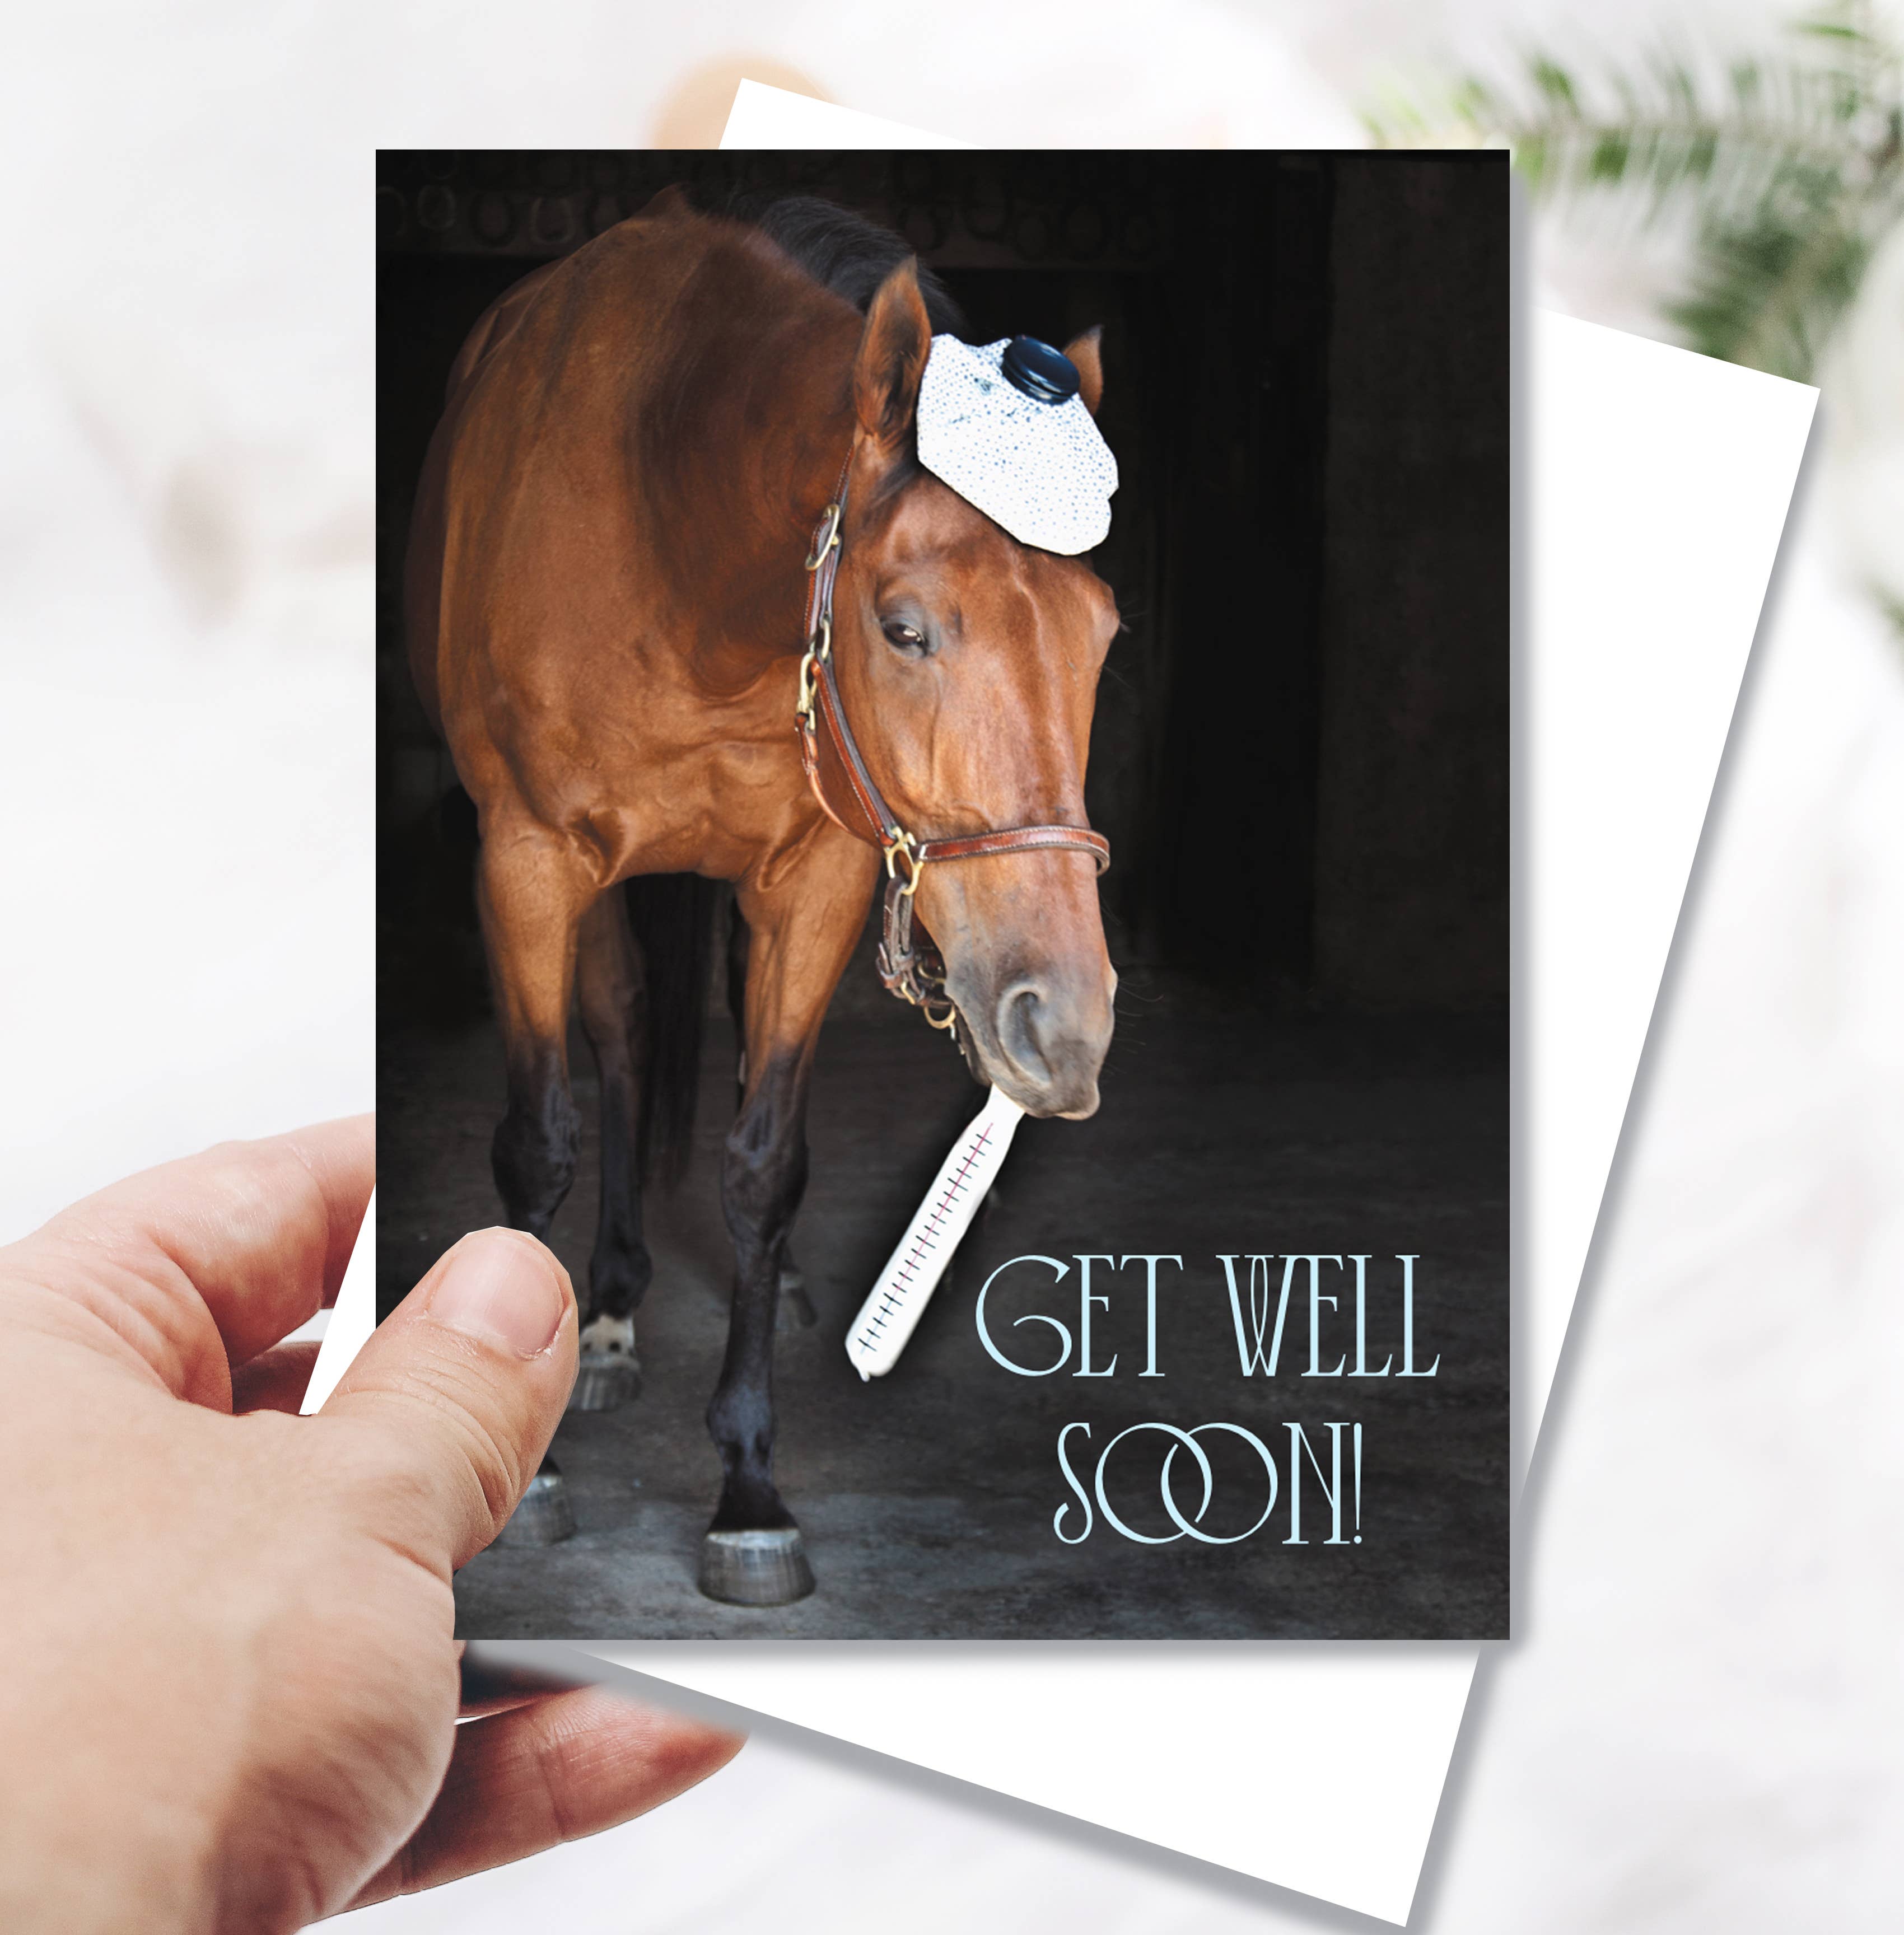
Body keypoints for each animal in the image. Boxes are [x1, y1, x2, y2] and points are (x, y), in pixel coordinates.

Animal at [404, 187, 1120, 1605]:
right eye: (903, 627)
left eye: (1102, 633)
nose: (1062, 1023)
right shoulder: (524, 858)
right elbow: (538, 1138)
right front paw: (533, 1468)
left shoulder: (819, 874)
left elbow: (762, 1162)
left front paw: (746, 1482)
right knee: (624, 1033)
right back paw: (607, 1314)